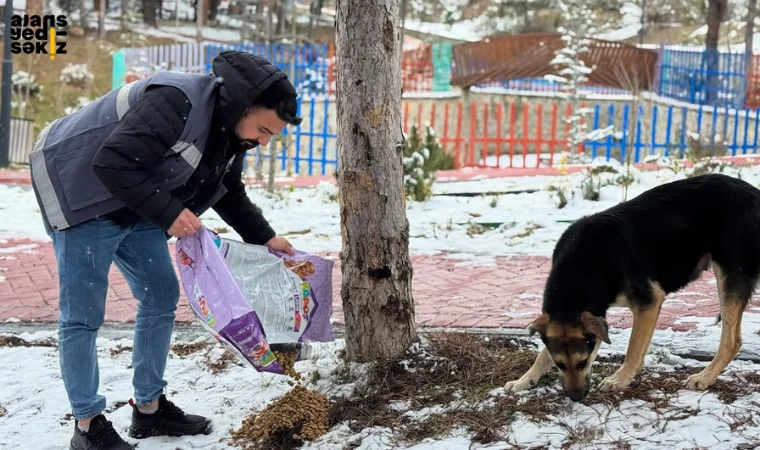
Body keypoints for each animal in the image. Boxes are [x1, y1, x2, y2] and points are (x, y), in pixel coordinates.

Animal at [504, 172, 760, 400]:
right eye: (560, 364)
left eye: (583, 361)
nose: (576, 398)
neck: (581, 265)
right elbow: (541, 356)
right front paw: (524, 380)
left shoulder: (649, 303)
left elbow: (633, 348)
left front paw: (620, 379)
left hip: (728, 278)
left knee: (731, 341)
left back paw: (705, 377)